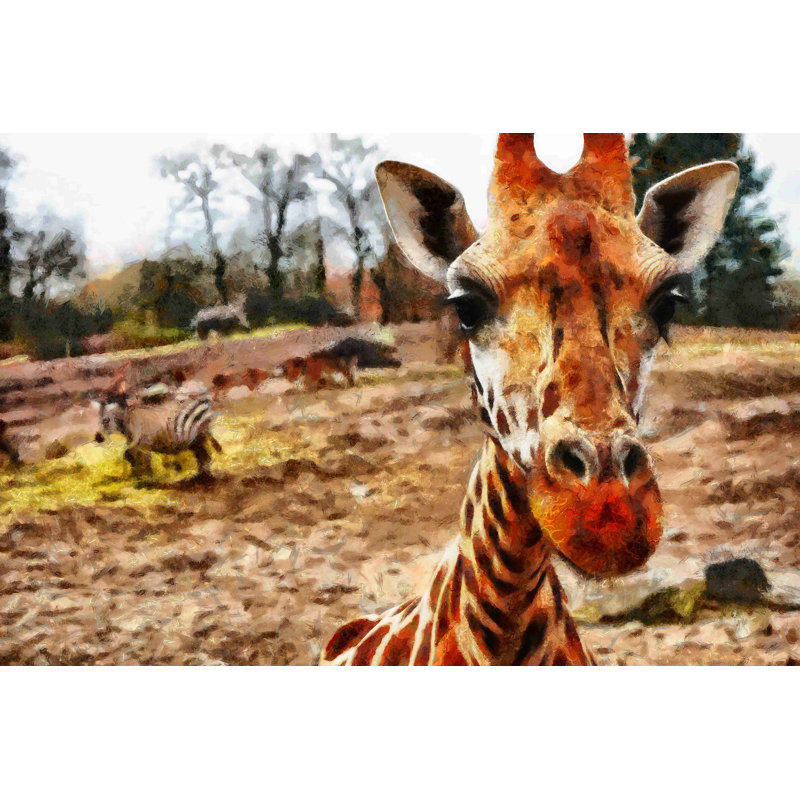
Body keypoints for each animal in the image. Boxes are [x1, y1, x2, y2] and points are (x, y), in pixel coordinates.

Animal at [92, 379, 222, 480]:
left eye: (105, 420)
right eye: (100, 414)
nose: (98, 438)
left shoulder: (142, 444)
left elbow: (137, 458)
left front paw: (145, 478)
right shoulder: (138, 444)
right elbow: (130, 456)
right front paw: (139, 476)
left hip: (198, 436)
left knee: (204, 455)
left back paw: (203, 477)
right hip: (196, 438)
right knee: (203, 455)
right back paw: (202, 476)